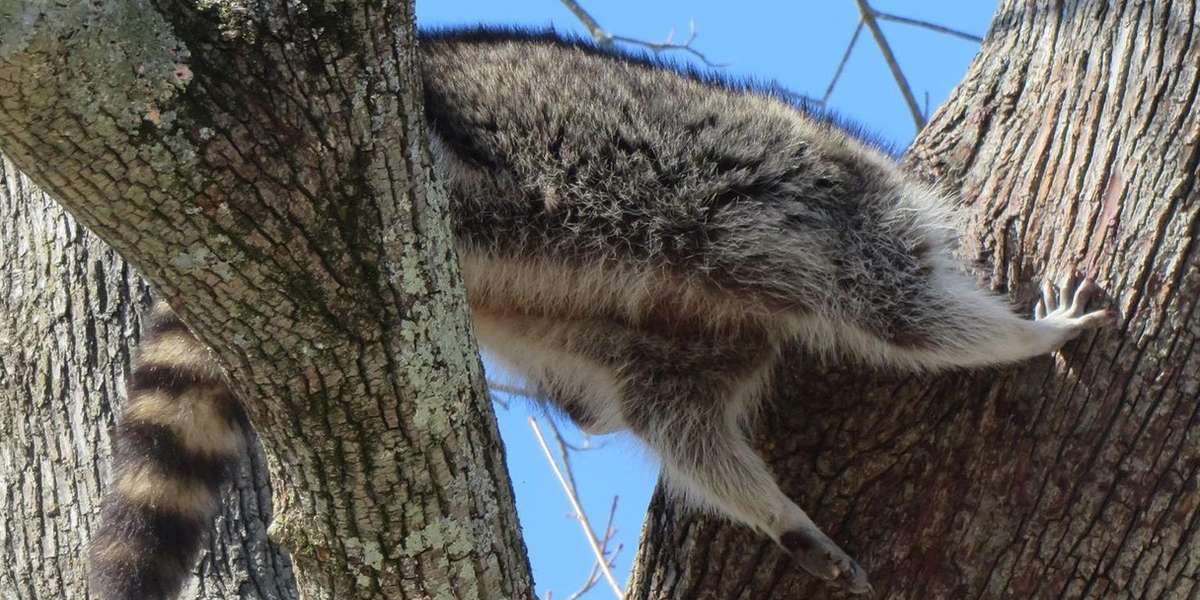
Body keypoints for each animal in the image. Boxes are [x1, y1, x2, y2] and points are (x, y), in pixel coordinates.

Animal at [88, 27, 1113, 599]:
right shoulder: (835, 219)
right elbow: (910, 315)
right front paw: (1027, 336)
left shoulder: (691, 340)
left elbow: (678, 423)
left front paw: (775, 513)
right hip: (456, 154)